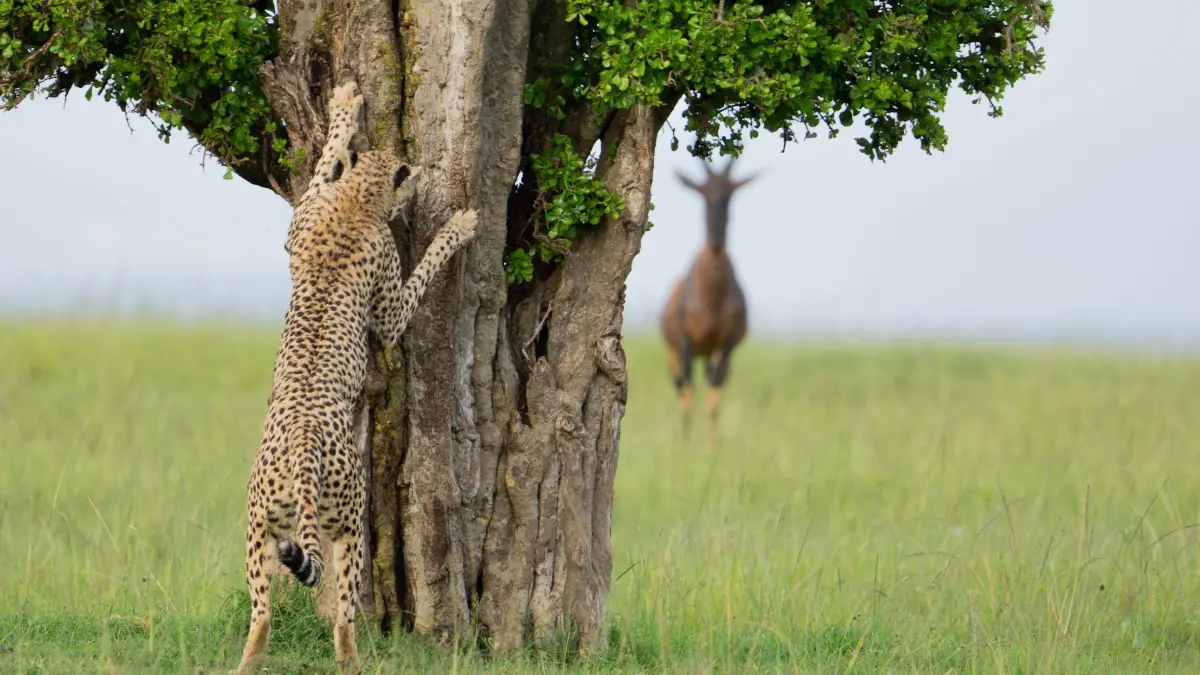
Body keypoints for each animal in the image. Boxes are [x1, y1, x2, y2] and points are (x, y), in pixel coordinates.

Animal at [235, 80, 477, 675]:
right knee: (344, 611)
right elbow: (419, 277)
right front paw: (456, 228)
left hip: (259, 528)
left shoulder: (299, 222)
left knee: (262, 613)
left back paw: (248, 661)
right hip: (348, 522)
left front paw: (344, 109)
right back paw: (351, 659)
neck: (357, 201)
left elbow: (325, 161)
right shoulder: (388, 310)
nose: (423, 177)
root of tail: (302, 446)